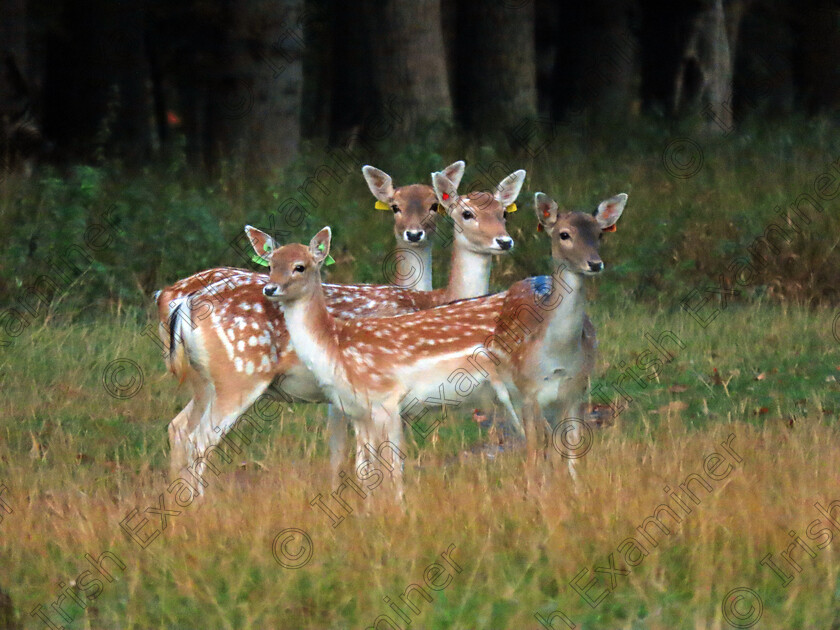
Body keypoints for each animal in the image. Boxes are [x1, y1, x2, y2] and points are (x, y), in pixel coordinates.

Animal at [158, 165, 524, 482]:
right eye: (466, 213)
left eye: (504, 213)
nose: (504, 241)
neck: (431, 300)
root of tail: (178, 300)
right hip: (239, 375)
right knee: (199, 439)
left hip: (205, 380)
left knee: (178, 428)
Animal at [256, 191, 624, 498]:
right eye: (271, 265)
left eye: (300, 266)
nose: (270, 289)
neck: (334, 348)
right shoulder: (358, 409)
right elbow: (368, 470)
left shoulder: (386, 399)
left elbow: (391, 470)